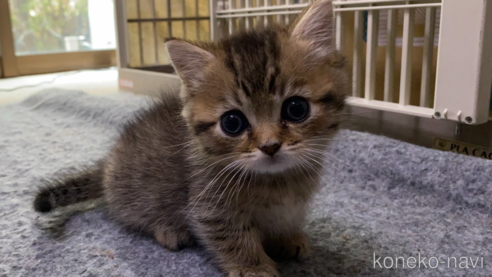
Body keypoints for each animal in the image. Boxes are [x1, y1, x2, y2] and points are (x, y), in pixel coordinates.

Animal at [33, 1, 350, 274]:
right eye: (232, 123)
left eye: (296, 108)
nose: (270, 146)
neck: (278, 181)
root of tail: (107, 165)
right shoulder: (209, 204)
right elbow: (232, 237)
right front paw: (254, 267)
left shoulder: (290, 206)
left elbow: (284, 222)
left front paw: (288, 238)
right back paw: (169, 230)